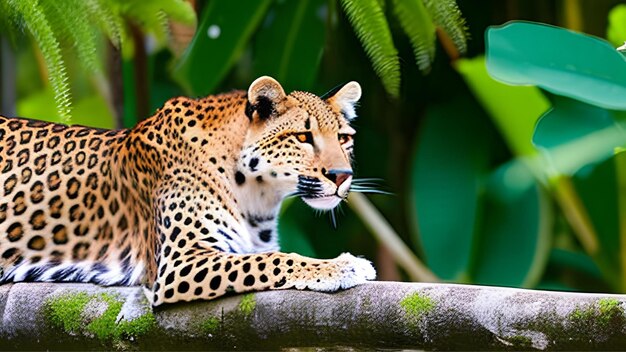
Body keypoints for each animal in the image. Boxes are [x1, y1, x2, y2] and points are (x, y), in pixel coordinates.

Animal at [0, 76, 376, 306]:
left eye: (344, 138)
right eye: (302, 137)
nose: (342, 175)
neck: (258, 198)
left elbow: (264, 256)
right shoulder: (178, 262)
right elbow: (273, 260)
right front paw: (340, 267)